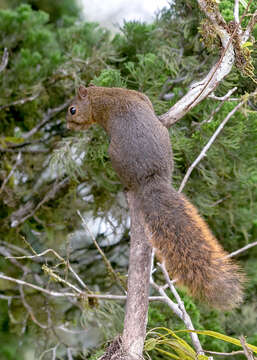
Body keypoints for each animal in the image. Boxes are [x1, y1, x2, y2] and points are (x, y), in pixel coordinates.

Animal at [66, 84, 242, 310]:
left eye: (72, 110)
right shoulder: (139, 96)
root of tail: (151, 178)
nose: (68, 127)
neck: (101, 96)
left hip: (115, 157)